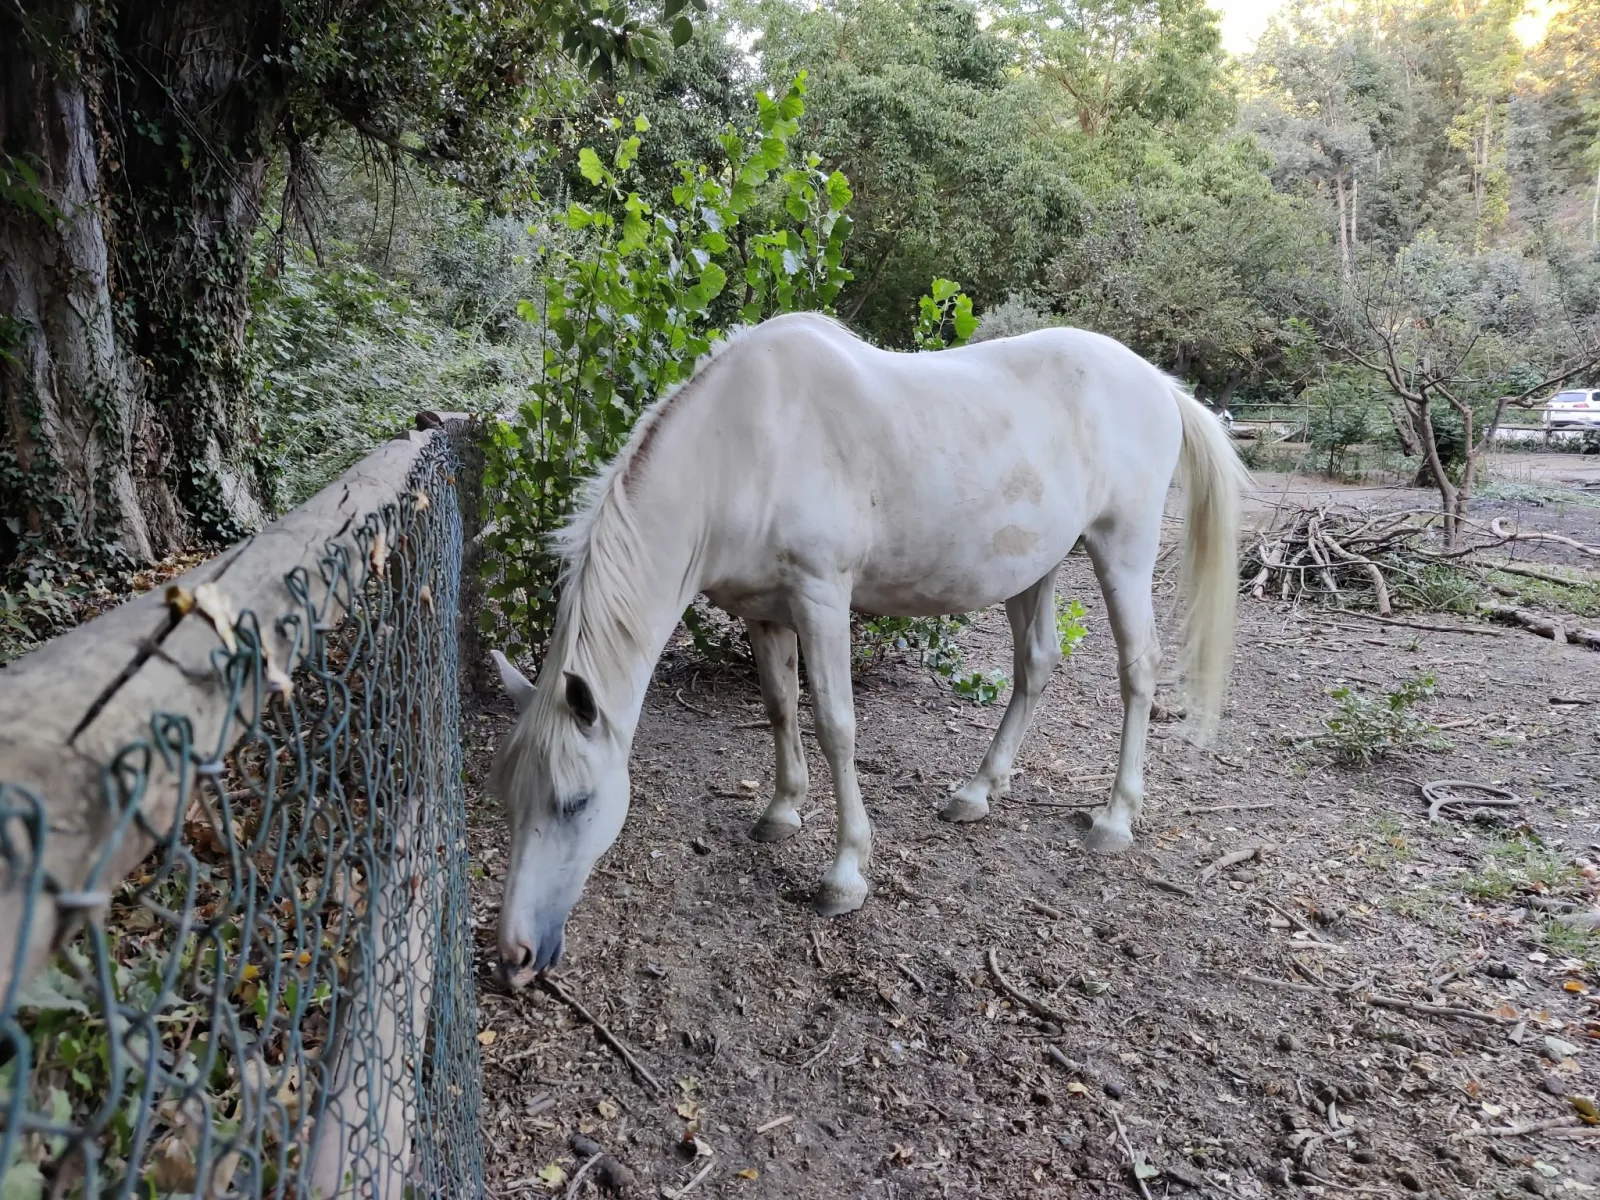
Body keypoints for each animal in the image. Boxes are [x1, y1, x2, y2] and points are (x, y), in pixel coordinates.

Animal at [488, 312, 1247, 987]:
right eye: (507, 796)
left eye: (577, 802)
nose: (515, 956)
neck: (743, 445)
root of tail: (1157, 382)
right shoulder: (766, 615)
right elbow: (780, 709)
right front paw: (781, 812)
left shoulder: (822, 599)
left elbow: (836, 726)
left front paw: (846, 874)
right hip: (1036, 566)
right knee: (1034, 666)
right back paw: (977, 792)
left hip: (1123, 549)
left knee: (1137, 669)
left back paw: (1115, 819)